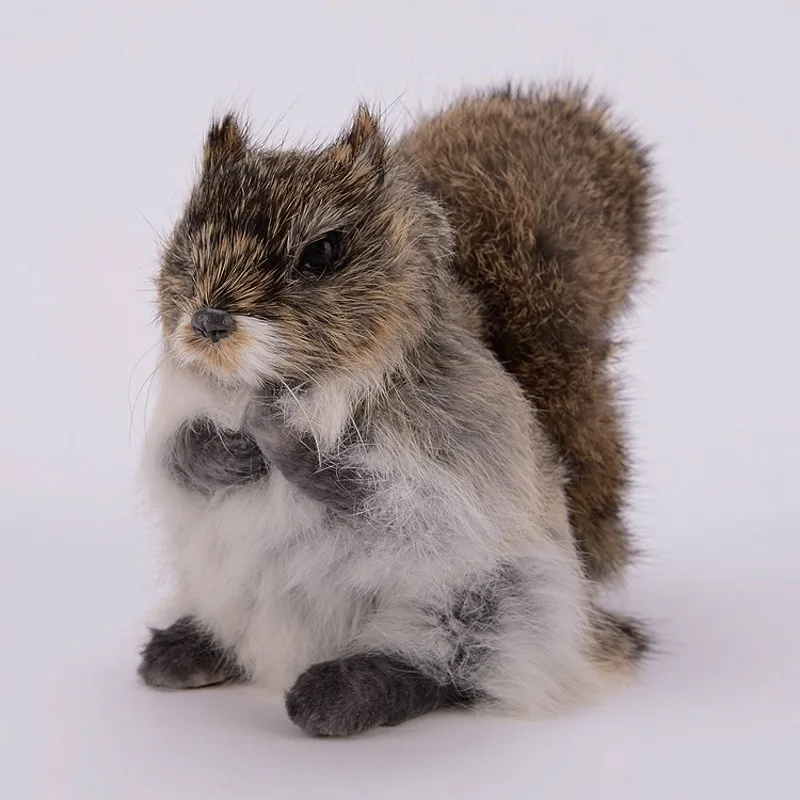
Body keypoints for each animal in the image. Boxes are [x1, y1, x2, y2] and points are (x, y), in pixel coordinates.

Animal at [137, 81, 658, 737]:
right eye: (189, 233)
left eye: (323, 252)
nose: (208, 321)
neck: (298, 383)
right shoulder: (177, 418)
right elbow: (178, 465)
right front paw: (222, 449)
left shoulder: (464, 462)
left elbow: (378, 494)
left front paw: (280, 437)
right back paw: (189, 650)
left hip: (492, 605)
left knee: (452, 669)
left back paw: (355, 686)